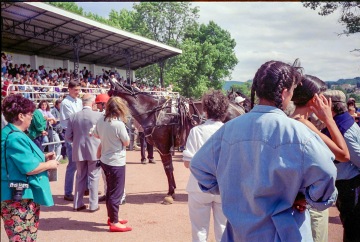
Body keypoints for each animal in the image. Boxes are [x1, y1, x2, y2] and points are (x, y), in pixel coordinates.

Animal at [108, 79, 243, 202]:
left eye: (109, 93)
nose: (107, 111)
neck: (154, 112)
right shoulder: (164, 148)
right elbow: (169, 168)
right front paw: (172, 191)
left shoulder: (163, 147)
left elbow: (168, 169)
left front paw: (170, 193)